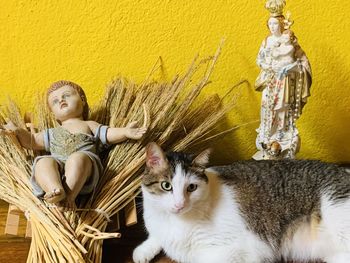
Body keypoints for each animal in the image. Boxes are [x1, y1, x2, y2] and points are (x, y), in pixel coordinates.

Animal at [133, 143, 350, 262]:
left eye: (191, 187)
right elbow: (156, 236)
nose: (179, 205)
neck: (174, 222)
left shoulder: (239, 250)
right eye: (166, 186)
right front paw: (143, 250)